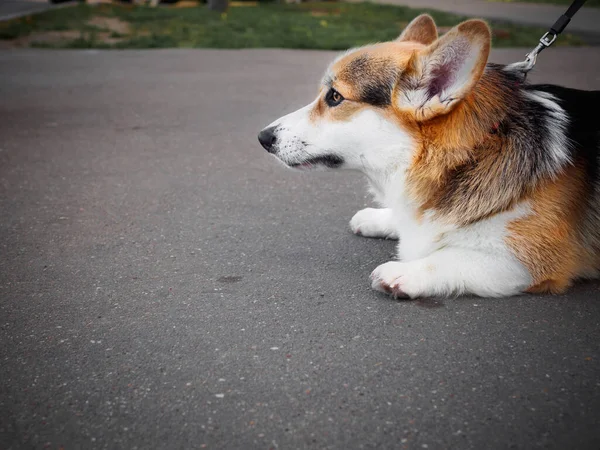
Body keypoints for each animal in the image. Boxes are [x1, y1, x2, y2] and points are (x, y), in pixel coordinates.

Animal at [258, 15, 600, 298]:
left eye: (335, 97)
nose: (263, 138)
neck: (472, 154)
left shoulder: (530, 260)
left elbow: (452, 257)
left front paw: (404, 274)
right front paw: (378, 218)